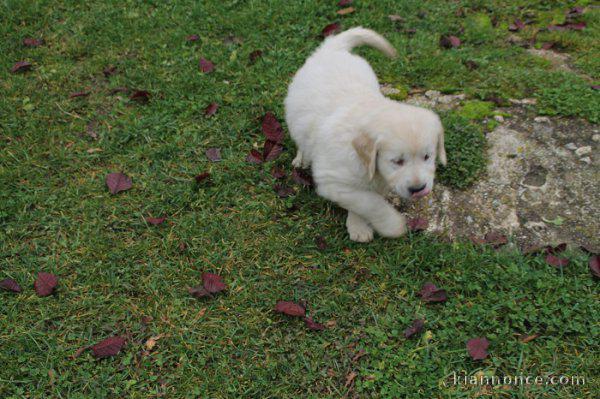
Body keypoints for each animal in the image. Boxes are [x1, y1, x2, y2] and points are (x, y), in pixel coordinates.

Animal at [284, 27, 446, 244]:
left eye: (427, 156)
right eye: (397, 161)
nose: (418, 189)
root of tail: (332, 49)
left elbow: (365, 200)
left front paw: (358, 225)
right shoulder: (332, 181)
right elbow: (369, 202)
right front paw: (392, 226)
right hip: (295, 114)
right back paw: (302, 158)